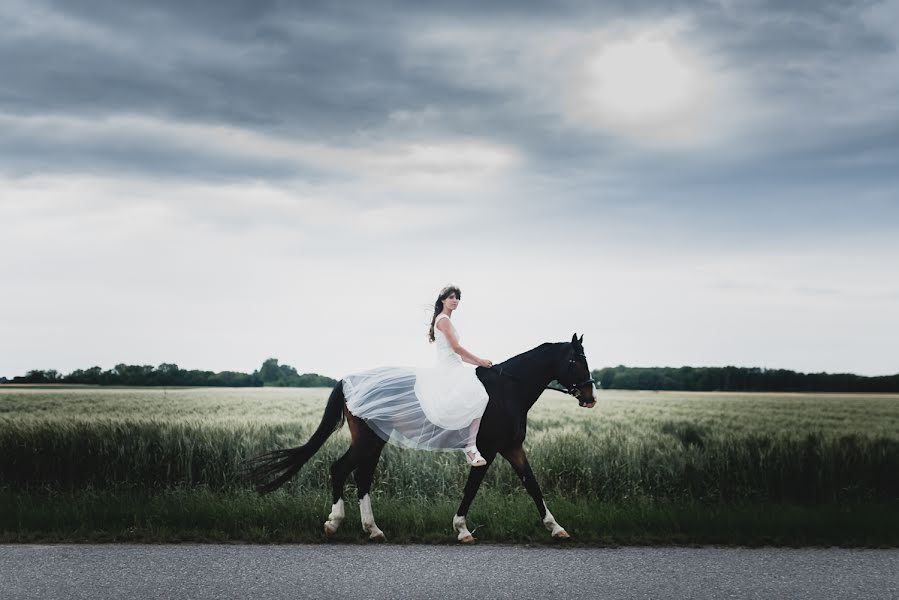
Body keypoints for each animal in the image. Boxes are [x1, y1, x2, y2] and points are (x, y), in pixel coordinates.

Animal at [244, 332, 596, 544]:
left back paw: (372, 529)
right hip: (369, 439)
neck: (507, 389)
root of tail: (348, 380)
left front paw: (556, 527)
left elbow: (532, 484)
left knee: (361, 475)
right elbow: (471, 488)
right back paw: (335, 523)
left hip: (375, 440)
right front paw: (462, 529)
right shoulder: (488, 449)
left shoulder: (512, 447)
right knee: (341, 469)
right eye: (577, 360)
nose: (590, 397)